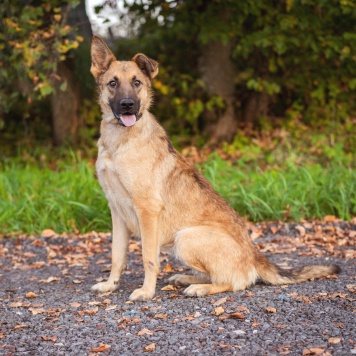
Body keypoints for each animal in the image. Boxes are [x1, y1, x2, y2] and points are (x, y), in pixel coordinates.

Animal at [89, 36, 340, 302]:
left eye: (137, 82)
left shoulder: (147, 210)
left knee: (235, 281)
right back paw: (186, 278)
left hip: (185, 238)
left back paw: (200, 287)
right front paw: (110, 285)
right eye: (113, 83)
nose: (127, 105)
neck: (118, 143)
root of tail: (254, 255)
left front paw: (147, 291)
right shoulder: (117, 212)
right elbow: (117, 256)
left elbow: (149, 259)